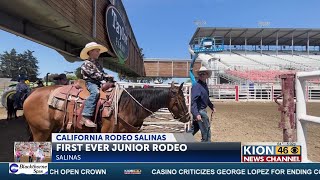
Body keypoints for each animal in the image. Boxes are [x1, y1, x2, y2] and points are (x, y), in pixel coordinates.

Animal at [23, 82, 191, 142]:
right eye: (180, 100)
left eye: (185, 98)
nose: (188, 117)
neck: (128, 106)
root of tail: (32, 92)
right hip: (40, 131)